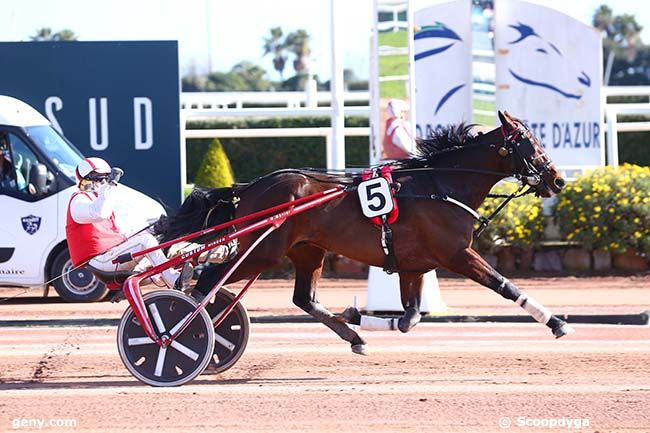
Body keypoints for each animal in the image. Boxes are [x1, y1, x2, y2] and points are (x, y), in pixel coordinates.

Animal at [159, 111, 568, 354]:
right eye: (531, 144)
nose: (558, 180)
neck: (439, 184)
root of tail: (250, 187)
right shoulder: (457, 255)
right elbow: (504, 284)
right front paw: (557, 322)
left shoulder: (413, 266)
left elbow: (409, 318)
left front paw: (356, 315)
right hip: (262, 252)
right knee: (207, 280)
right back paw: (184, 330)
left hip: (307, 250)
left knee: (304, 299)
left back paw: (354, 337)